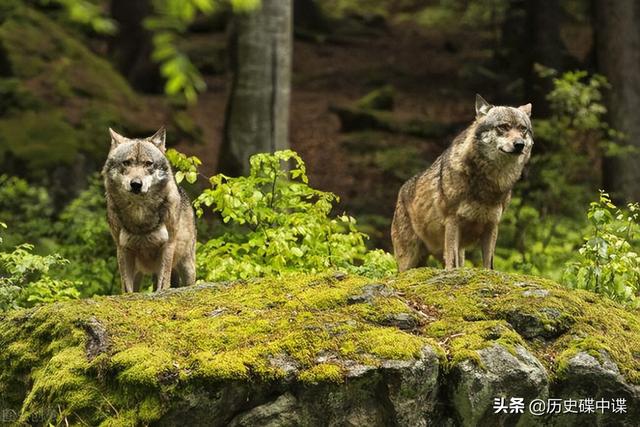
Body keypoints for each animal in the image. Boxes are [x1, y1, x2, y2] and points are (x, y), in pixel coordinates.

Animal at [102, 128, 196, 294]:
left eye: (148, 164)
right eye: (126, 162)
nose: (136, 184)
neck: (140, 215)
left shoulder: (167, 246)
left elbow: (162, 285)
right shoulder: (123, 249)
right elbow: (127, 289)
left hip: (186, 266)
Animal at [390, 95, 536, 272]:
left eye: (522, 129)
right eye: (504, 127)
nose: (519, 144)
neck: (489, 182)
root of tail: (401, 191)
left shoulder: (492, 225)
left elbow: (488, 265)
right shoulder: (452, 221)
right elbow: (452, 265)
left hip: (456, 252)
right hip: (409, 261)